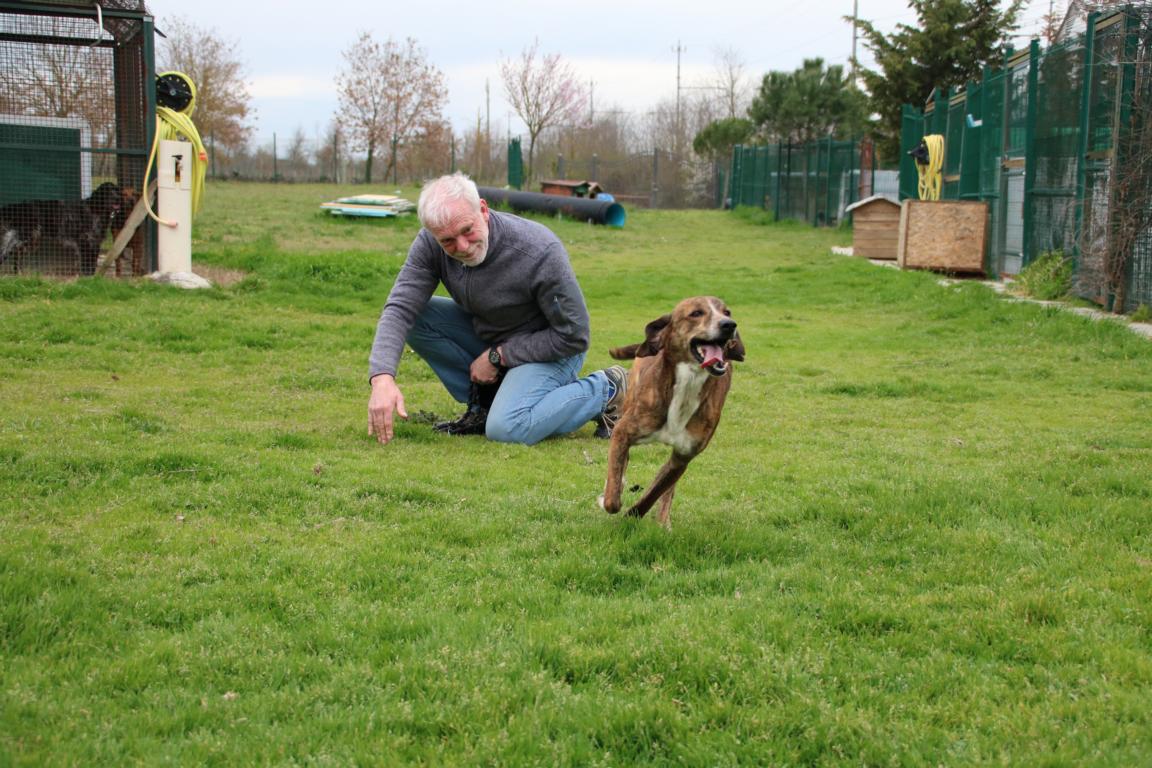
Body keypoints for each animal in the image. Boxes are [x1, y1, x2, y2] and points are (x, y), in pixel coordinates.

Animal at [0, 182, 128, 275]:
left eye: (117, 191)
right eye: (108, 192)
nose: (118, 198)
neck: (95, 209)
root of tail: (16, 207)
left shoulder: (94, 243)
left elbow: (92, 264)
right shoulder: (85, 241)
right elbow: (86, 264)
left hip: (29, 240)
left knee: (16, 255)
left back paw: (19, 274)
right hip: (23, 236)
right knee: (6, 252)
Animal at [598, 296, 745, 527]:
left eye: (727, 312)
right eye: (696, 313)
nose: (729, 325)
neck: (688, 382)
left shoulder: (683, 456)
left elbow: (655, 492)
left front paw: (635, 514)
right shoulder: (623, 432)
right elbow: (613, 495)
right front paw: (612, 496)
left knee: (667, 488)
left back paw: (663, 520)